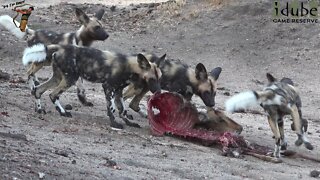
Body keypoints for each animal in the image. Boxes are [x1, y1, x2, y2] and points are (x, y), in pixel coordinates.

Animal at [21, 43, 165, 129]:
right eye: (152, 79)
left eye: (160, 78)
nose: (158, 91)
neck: (129, 67)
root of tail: (60, 47)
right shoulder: (108, 87)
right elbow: (112, 108)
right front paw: (114, 123)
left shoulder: (118, 91)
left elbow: (123, 109)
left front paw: (129, 122)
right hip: (70, 79)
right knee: (53, 94)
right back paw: (63, 112)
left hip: (58, 78)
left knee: (38, 90)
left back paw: (40, 109)